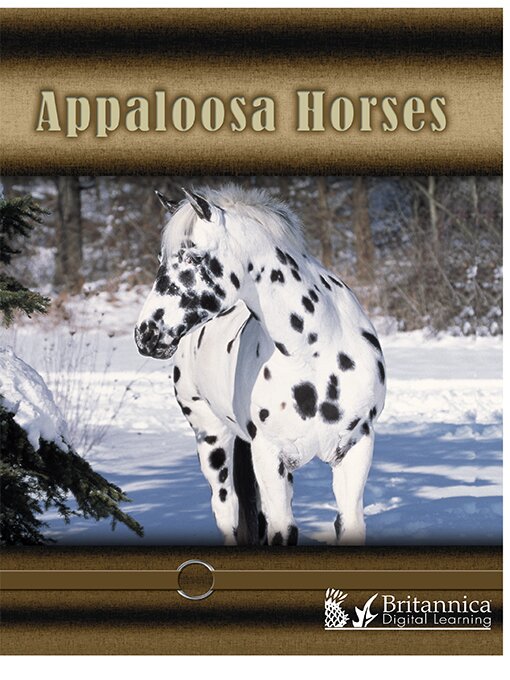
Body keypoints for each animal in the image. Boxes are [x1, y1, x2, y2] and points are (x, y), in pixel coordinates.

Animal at [134, 185, 386, 546]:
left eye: (194, 258)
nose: (146, 334)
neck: (312, 351)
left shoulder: (355, 448)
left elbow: (348, 522)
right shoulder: (268, 455)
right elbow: (281, 531)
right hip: (212, 440)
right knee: (225, 509)